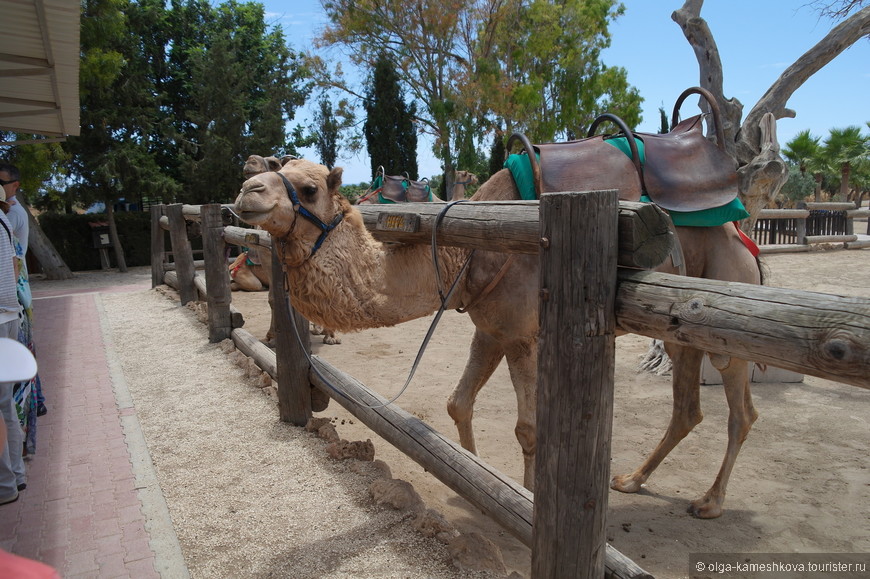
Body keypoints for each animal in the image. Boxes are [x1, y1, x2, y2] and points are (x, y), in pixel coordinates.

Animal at [237, 152, 764, 520]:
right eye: (275, 169)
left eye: (307, 189)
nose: (246, 191)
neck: (466, 253)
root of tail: (743, 237)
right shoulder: (491, 330)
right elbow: (457, 403)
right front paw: (474, 481)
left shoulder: (525, 336)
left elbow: (528, 428)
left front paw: (527, 495)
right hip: (681, 334)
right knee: (688, 407)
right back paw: (632, 480)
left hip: (727, 314)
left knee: (742, 411)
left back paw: (710, 502)